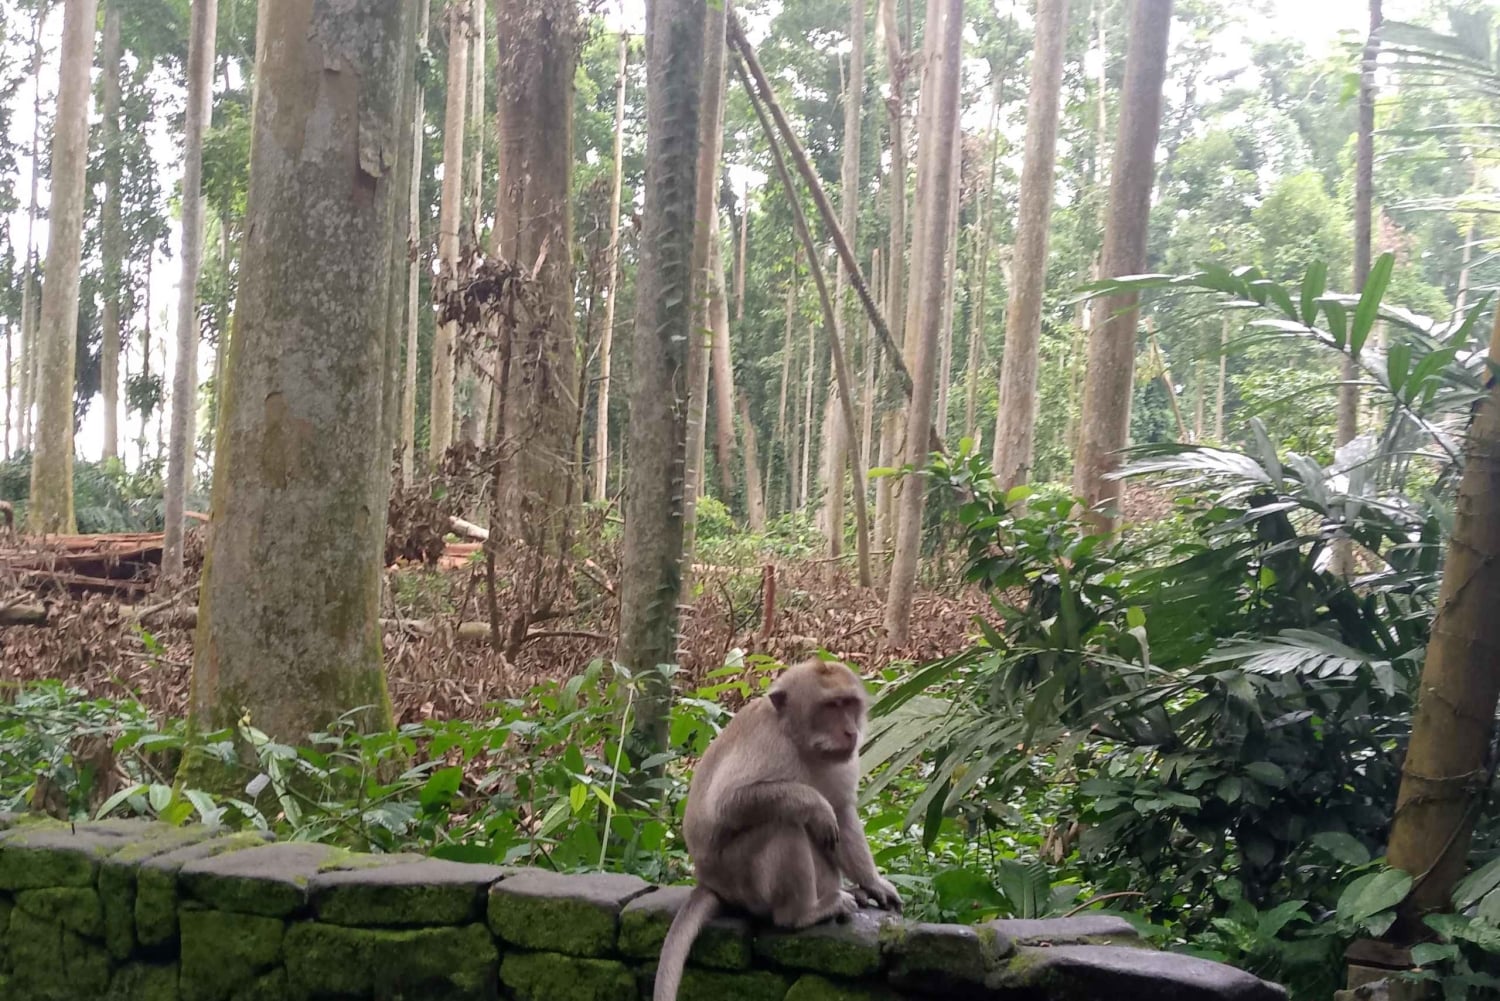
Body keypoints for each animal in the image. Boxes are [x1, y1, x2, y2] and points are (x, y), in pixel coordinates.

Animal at [652, 658, 902, 1001]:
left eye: (849, 704)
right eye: (830, 707)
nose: (851, 732)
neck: (800, 741)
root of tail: (709, 882)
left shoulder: (846, 760)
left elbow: (843, 813)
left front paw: (874, 883)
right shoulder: (768, 745)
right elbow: (728, 803)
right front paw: (815, 804)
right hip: (740, 880)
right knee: (782, 825)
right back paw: (802, 914)